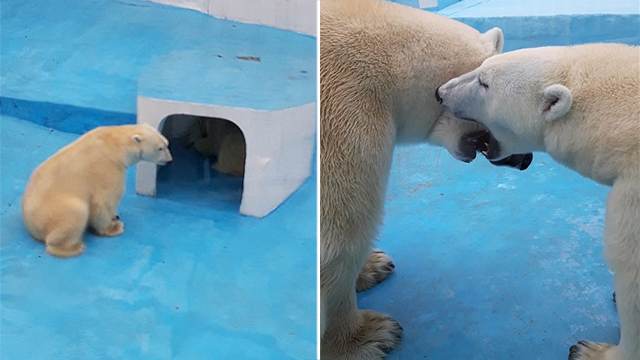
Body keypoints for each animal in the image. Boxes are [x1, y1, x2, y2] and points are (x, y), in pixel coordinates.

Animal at [22, 125, 172, 258]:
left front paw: (115, 216)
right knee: (76, 212)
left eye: (167, 143)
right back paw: (74, 247)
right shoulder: (108, 167)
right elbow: (103, 200)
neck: (114, 145)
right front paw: (114, 227)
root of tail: (31, 226)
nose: (170, 160)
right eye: (160, 148)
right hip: (53, 212)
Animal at [438, 44, 640, 360]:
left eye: (484, 83)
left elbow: (631, 271)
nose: (441, 92)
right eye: (481, 68)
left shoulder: (632, 196)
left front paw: (590, 351)